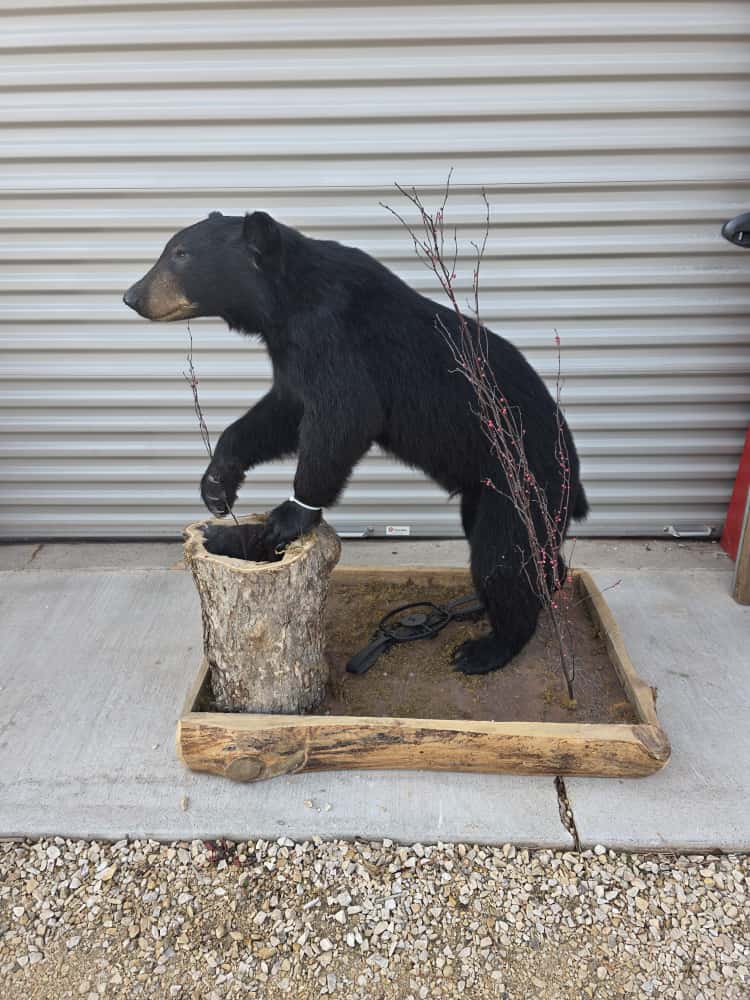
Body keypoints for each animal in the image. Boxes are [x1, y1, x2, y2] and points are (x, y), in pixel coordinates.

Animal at [123, 210, 589, 674]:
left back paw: (487, 647)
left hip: (522, 480)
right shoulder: (293, 353)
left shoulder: (334, 335)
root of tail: (574, 475)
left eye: (180, 254)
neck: (285, 302)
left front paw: (287, 515)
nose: (131, 296)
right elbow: (283, 411)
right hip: (488, 489)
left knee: (503, 555)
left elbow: (344, 415)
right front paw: (218, 484)